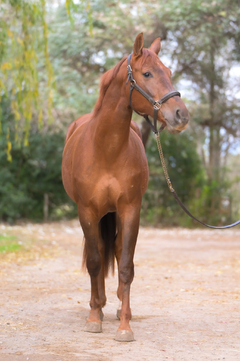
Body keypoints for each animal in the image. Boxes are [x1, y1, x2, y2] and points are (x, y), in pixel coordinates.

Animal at [62, 33, 189, 340]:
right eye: (147, 73)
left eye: (169, 72)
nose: (181, 114)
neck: (106, 147)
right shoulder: (87, 211)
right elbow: (95, 261)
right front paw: (94, 317)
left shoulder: (131, 208)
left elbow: (126, 265)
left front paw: (124, 325)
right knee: (97, 254)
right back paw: (98, 304)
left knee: (118, 250)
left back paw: (119, 306)